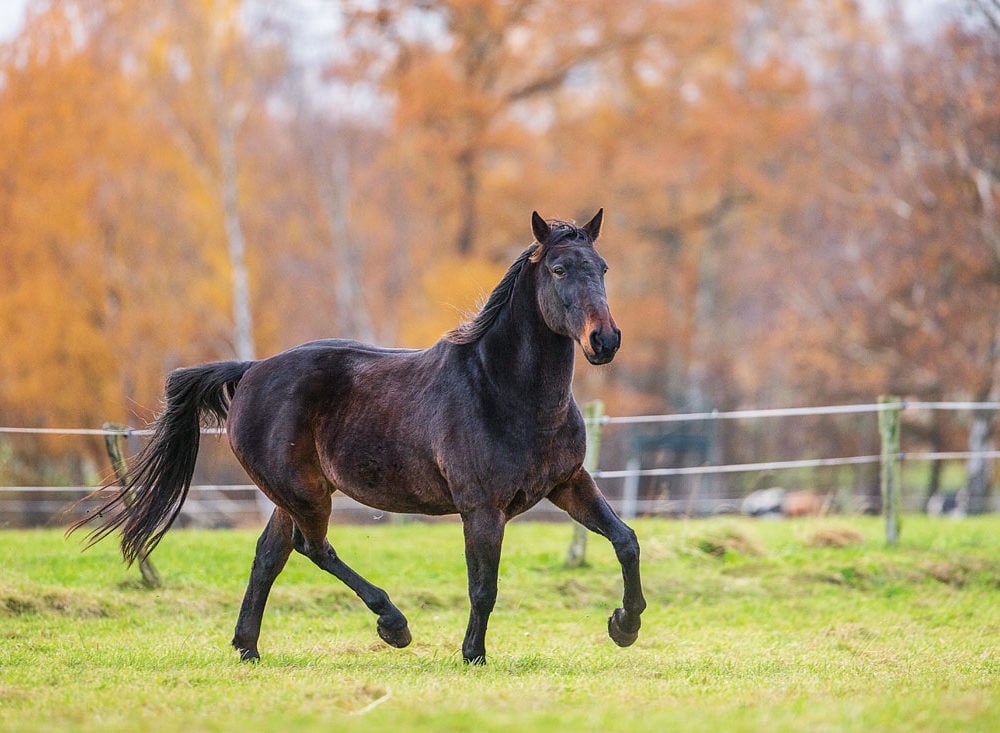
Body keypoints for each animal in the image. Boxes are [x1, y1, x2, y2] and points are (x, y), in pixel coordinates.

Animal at [70, 207, 648, 664]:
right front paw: (473, 655)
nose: (605, 340)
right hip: (306, 494)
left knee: (269, 556)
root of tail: (251, 369)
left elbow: (626, 539)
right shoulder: (482, 508)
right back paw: (393, 624)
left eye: (601, 268)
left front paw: (625, 624)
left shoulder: (569, 484)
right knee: (311, 547)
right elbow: (484, 586)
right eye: (558, 269)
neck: (504, 391)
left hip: (292, 494)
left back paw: (248, 648)